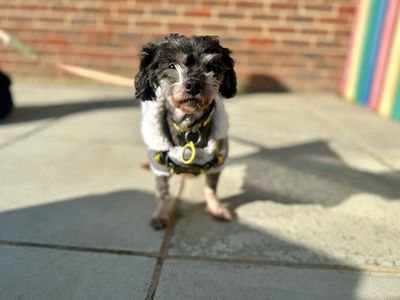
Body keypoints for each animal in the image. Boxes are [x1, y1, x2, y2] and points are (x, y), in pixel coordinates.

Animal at [134, 33, 236, 230]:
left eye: (211, 67)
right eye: (171, 66)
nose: (194, 84)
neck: (189, 125)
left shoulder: (219, 157)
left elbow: (211, 188)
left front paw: (216, 208)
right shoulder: (160, 164)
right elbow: (164, 193)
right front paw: (162, 214)